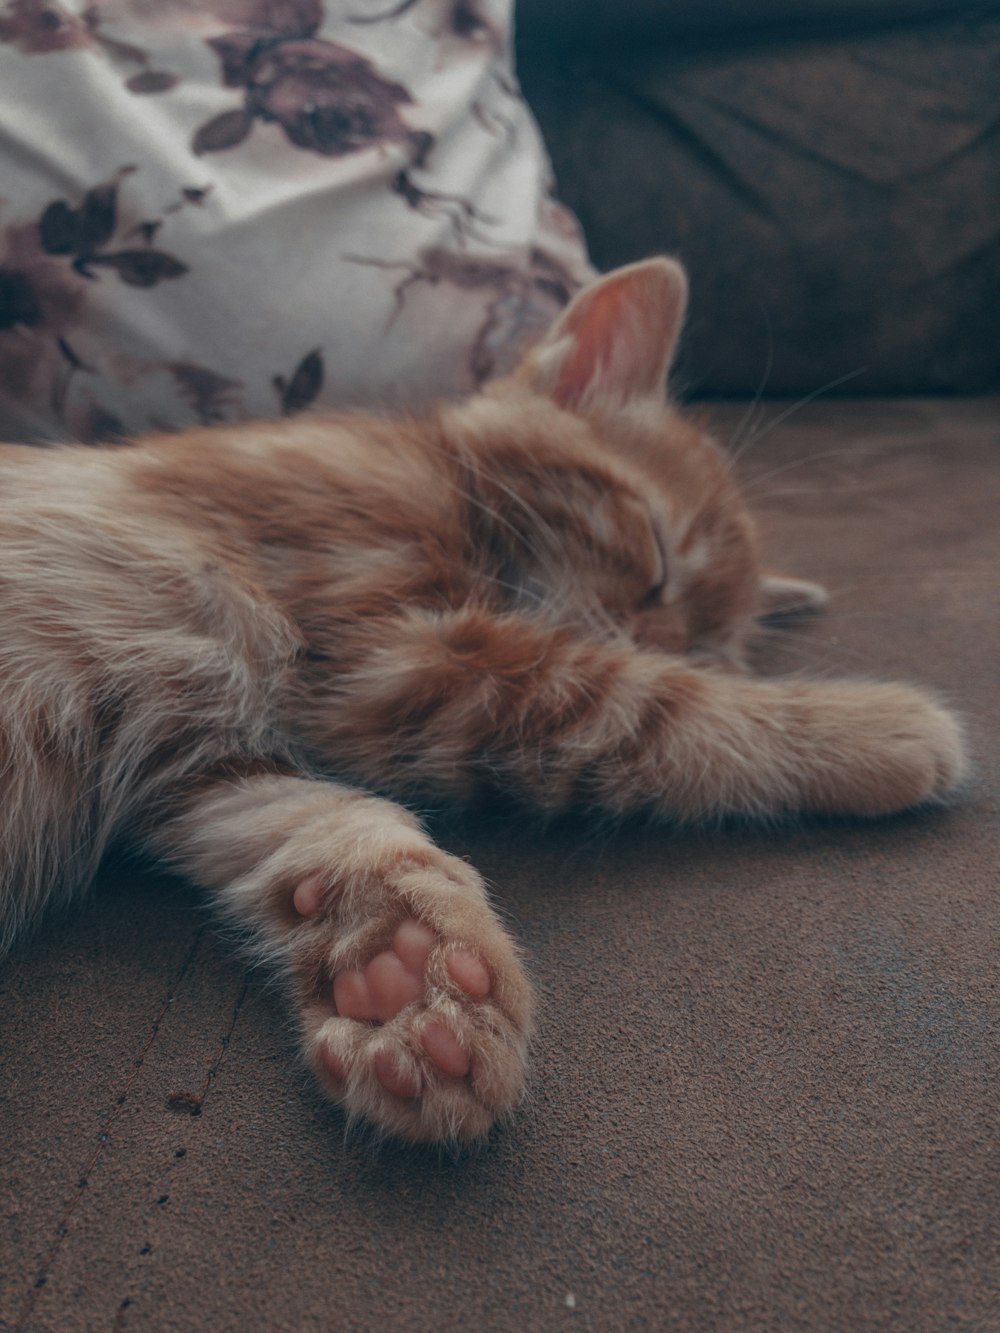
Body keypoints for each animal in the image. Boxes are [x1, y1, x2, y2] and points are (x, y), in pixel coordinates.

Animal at [0, 262, 970, 1146]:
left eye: (710, 642)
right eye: (657, 553)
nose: (660, 638)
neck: (445, 481)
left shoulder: (213, 764)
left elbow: (324, 823)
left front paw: (398, 966)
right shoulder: (390, 656)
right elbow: (653, 706)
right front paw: (881, 727)